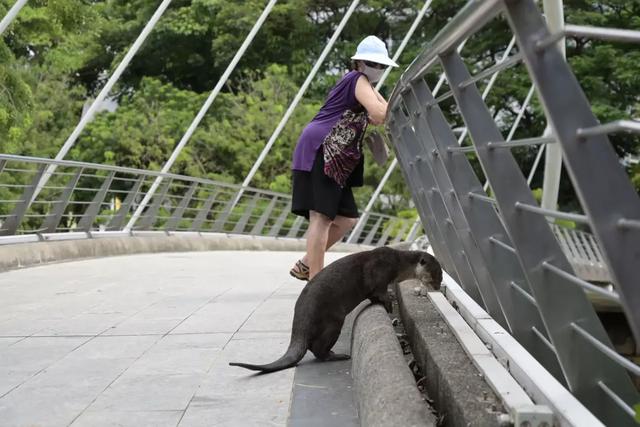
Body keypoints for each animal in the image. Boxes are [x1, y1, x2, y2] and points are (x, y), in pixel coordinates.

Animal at [228, 247, 442, 374]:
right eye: (437, 275)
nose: (439, 287)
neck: (397, 263)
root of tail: (300, 321)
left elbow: (374, 296)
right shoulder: (380, 273)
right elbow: (380, 291)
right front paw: (388, 304)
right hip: (334, 320)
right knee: (317, 349)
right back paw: (337, 355)